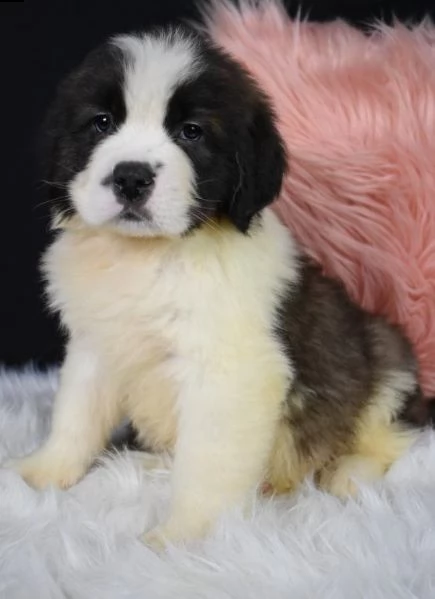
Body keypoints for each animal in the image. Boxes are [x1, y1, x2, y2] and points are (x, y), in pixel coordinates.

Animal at [11, 27, 434, 548]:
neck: (150, 257)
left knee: (395, 436)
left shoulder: (230, 373)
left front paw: (182, 537)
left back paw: (348, 474)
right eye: (102, 123)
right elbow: (75, 414)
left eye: (191, 131)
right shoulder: (96, 344)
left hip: (387, 357)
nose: (130, 177)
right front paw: (39, 472)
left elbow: (208, 464)